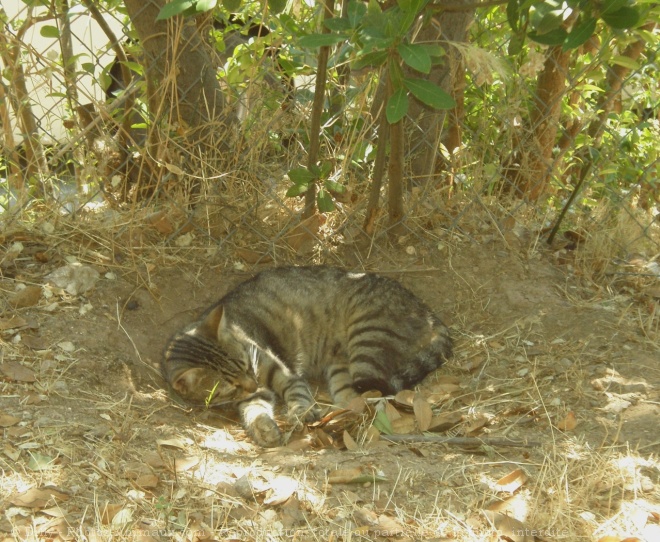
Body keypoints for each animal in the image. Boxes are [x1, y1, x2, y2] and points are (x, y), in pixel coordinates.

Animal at [164, 266, 454, 448]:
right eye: (230, 386)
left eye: (247, 364)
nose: (253, 383)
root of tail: (432, 316)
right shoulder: (252, 394)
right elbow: (254, 410)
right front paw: (265, 429)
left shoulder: (280, 370)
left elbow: (297, 392)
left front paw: (301, 411)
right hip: (343, 368)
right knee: (354, 401)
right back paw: (335, 419)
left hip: (367, 338)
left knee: (375, 398)